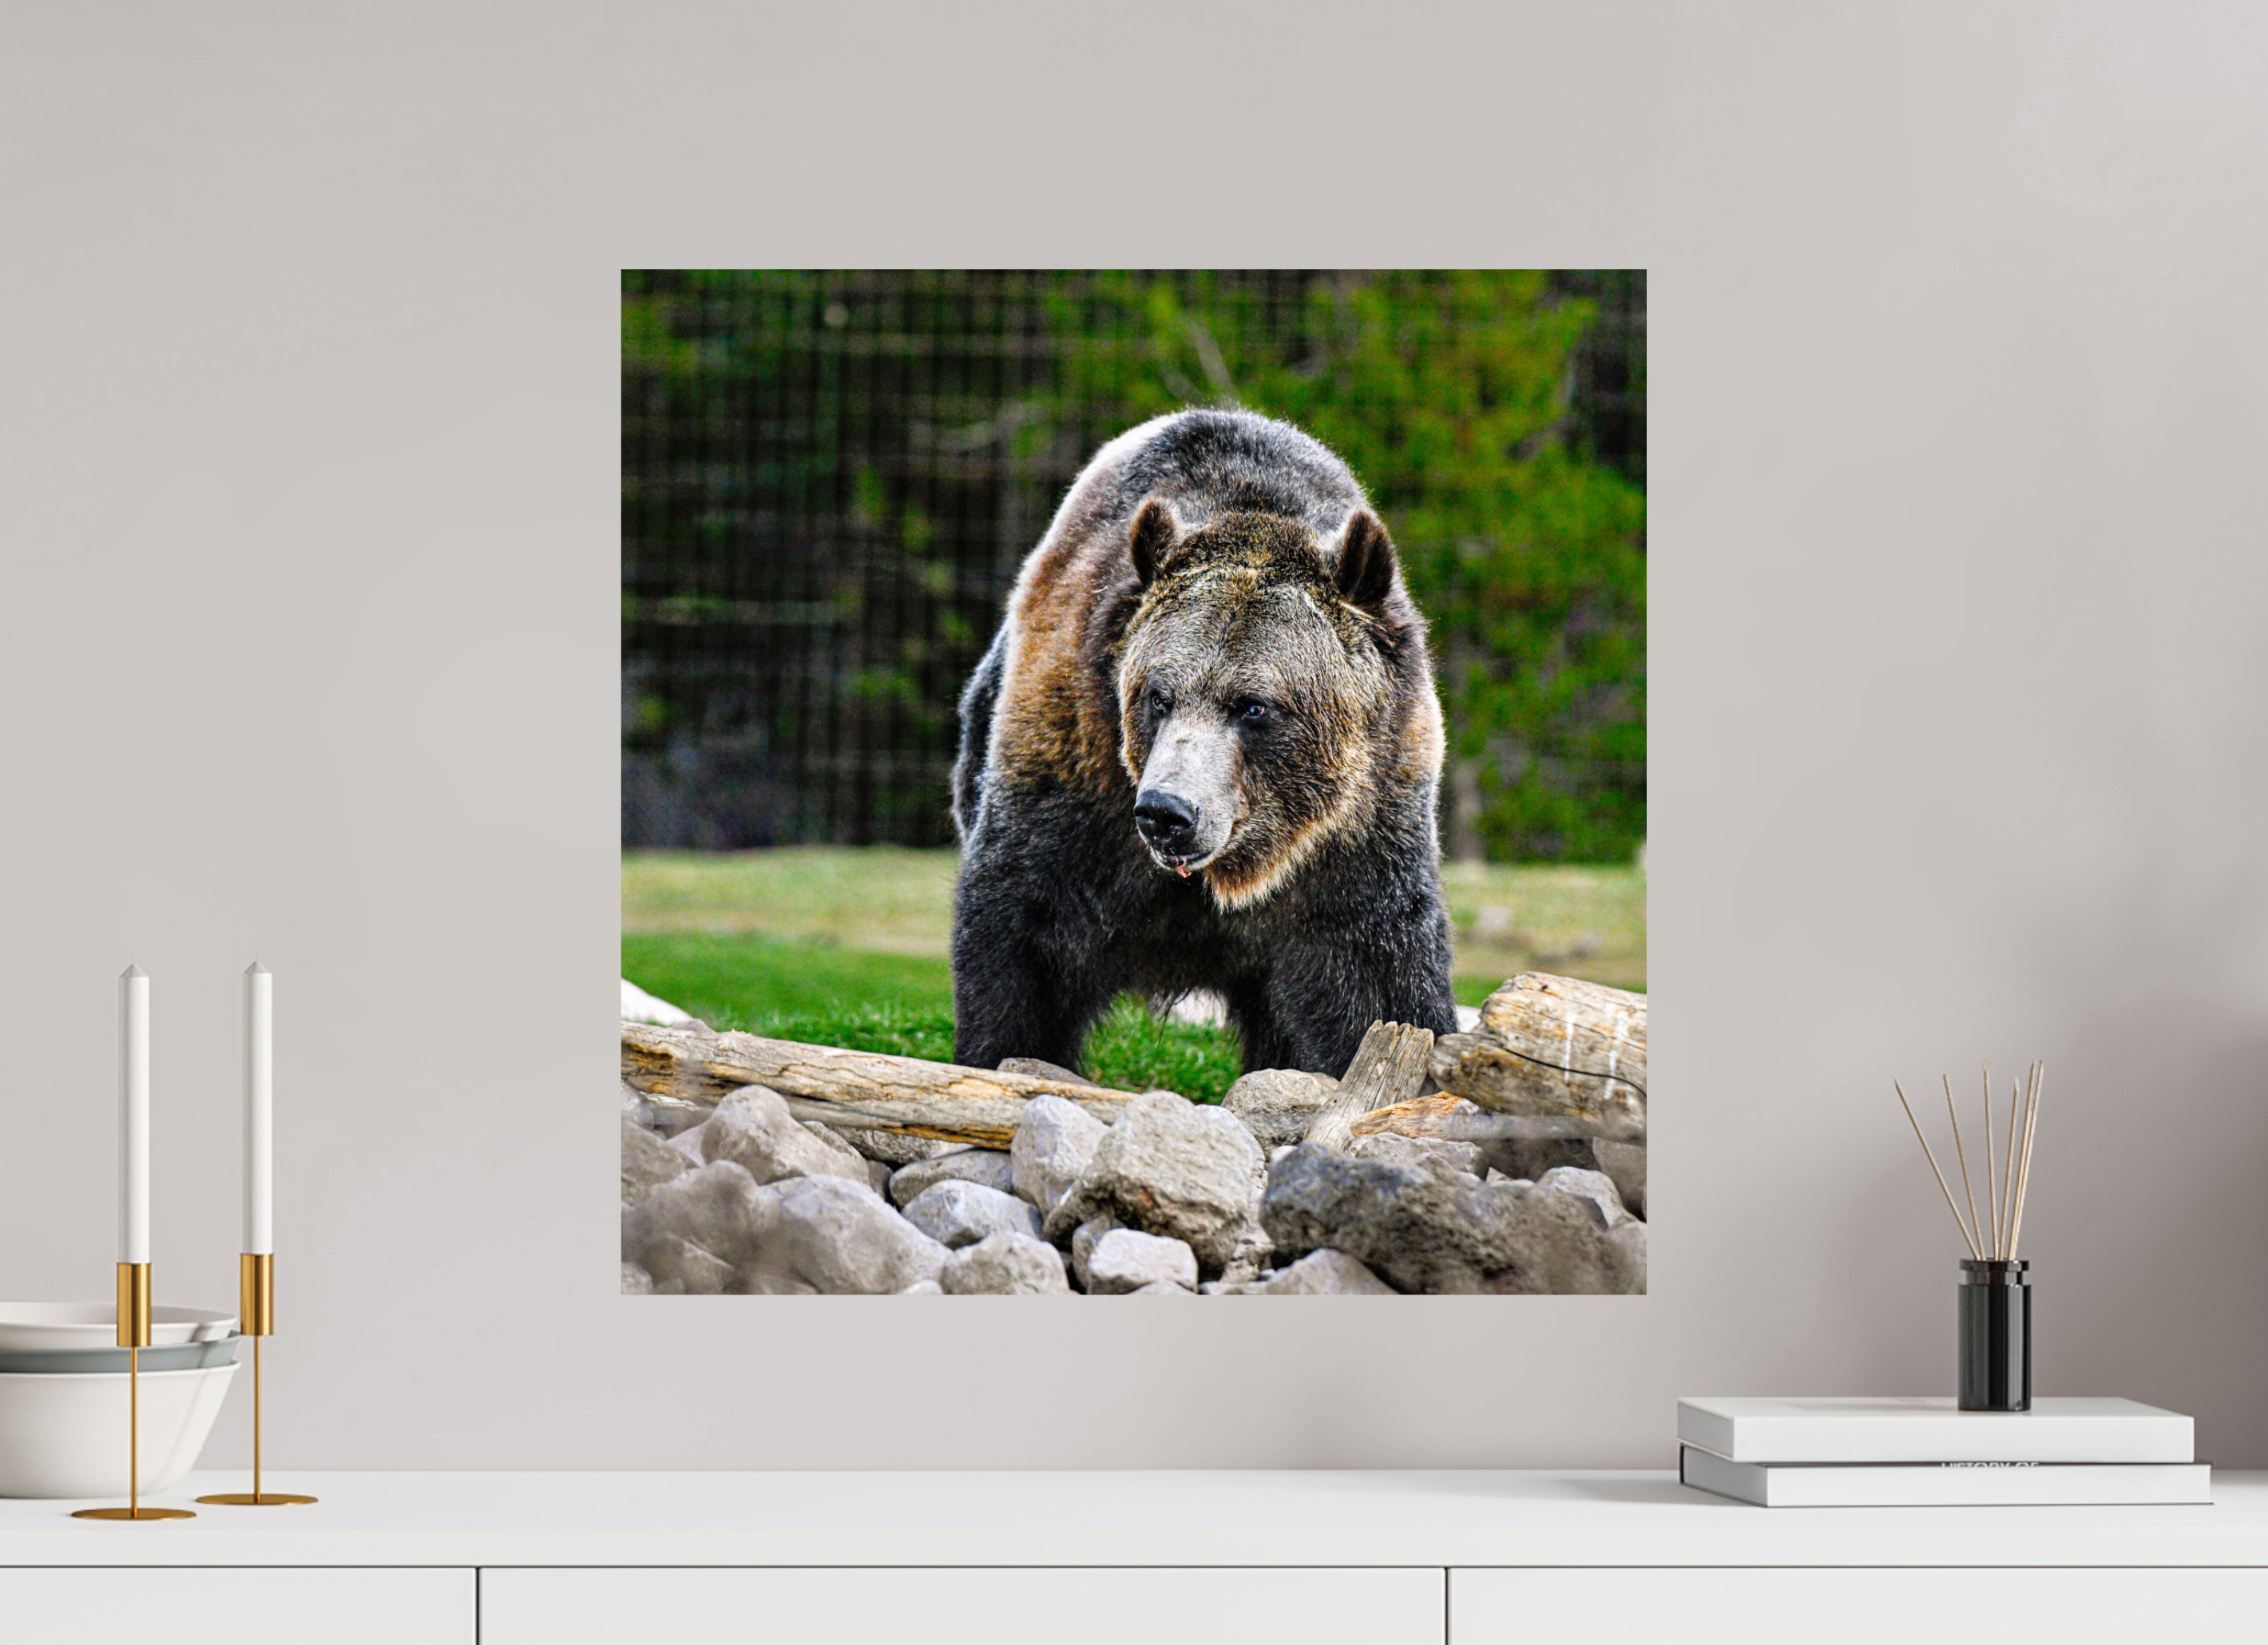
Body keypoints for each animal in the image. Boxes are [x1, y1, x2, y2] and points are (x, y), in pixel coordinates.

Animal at [949, 408, 1459, 1081]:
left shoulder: (1358, 834)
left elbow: (1378, 983)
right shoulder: (1072, 770)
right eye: (1156, 696)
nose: (1167, 813)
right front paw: (1002, 1052)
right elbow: (1020, 943)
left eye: (1254, 705)